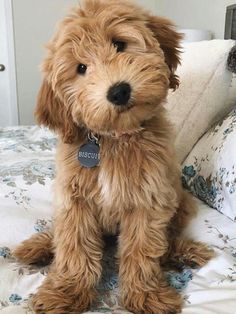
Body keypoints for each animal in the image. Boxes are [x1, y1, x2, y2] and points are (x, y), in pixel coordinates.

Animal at [13, 1, 214, 312]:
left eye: (119, 44)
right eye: (81, 68)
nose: (119, 91)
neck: (113, 138)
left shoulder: (149, 199)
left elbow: (142, 249)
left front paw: (146, 295)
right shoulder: (75, 199)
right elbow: (74, 246)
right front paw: (66, 292)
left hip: (181, 201)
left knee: (167, 240)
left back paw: (183, 252)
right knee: (58, 231)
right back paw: (40, 245)